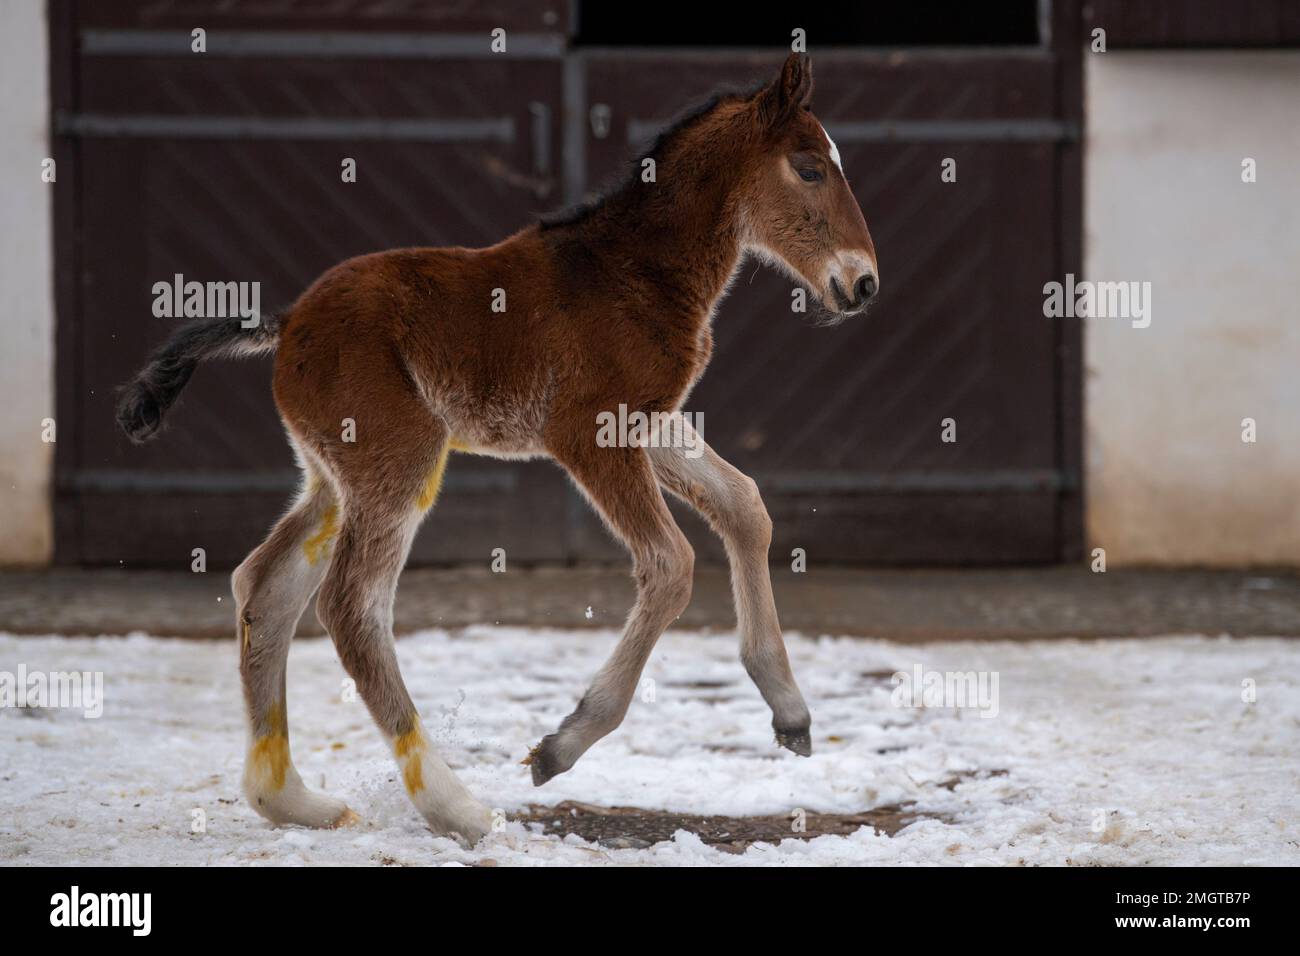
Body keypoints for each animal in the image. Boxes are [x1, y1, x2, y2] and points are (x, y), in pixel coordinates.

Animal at [115, 52, 878, 844]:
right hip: (402, 460)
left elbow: (745, 506)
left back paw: (292, 800)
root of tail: (288, 319)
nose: (862, 283)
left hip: (333, 476)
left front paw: (790, 710)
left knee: (264, 587)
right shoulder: (587, 431)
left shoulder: (650, 421)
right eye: (809, 168)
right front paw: (562, 745)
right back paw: (456, 809)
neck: (634, 271)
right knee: (351, 607)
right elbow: (670, 565)